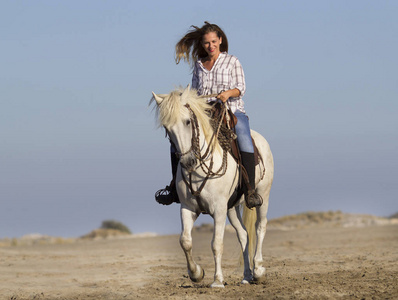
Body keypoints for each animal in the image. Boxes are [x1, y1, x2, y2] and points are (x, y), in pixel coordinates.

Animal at [151, 85, 272, 288]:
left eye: (187, 122)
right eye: (167, 128)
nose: (188, 161)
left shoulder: (218, 209)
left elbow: (216, 244)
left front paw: (217, 280)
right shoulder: (188, 208)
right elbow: (185, 241)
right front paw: (196, 273)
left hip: (263, 195)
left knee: (260, 227)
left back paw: (258, 270)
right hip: (232, 208)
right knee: (243, 234)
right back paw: (246, 276)